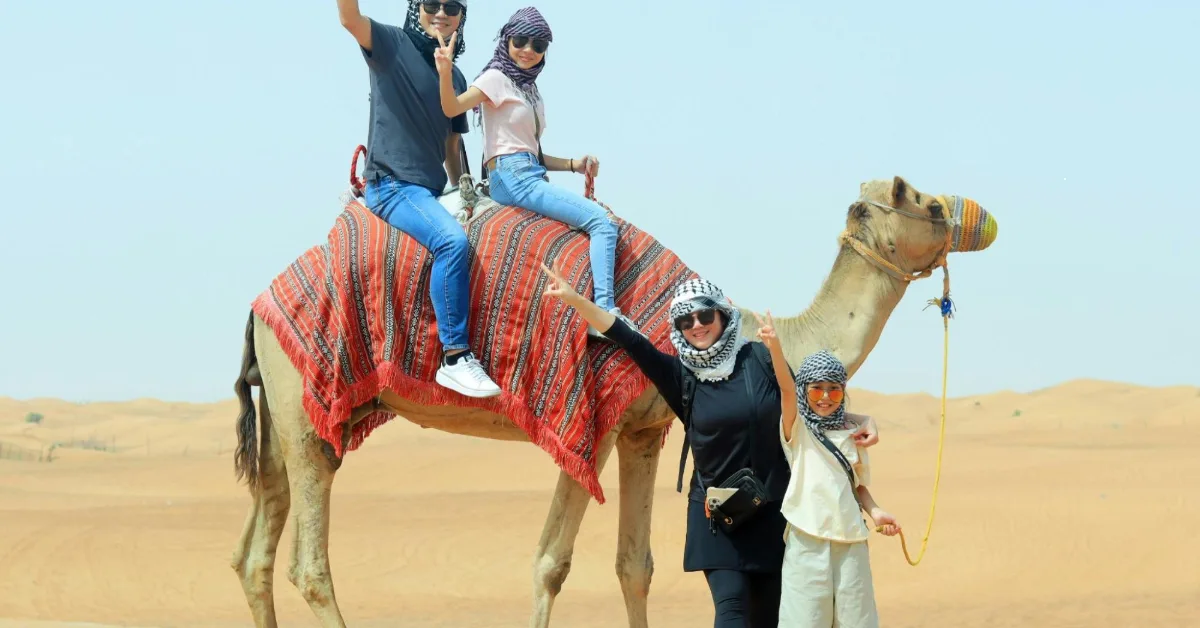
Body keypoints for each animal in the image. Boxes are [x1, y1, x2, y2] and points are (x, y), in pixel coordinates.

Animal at [229, 175, 996, 627]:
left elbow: (636, 565)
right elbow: (551, 561)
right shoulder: (588, 425)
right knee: (309, 566)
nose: (982, 219)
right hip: (307, 405)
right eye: (927, 203)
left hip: (288, 416)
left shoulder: (642, 431)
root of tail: (258, 307)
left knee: (255, 554)